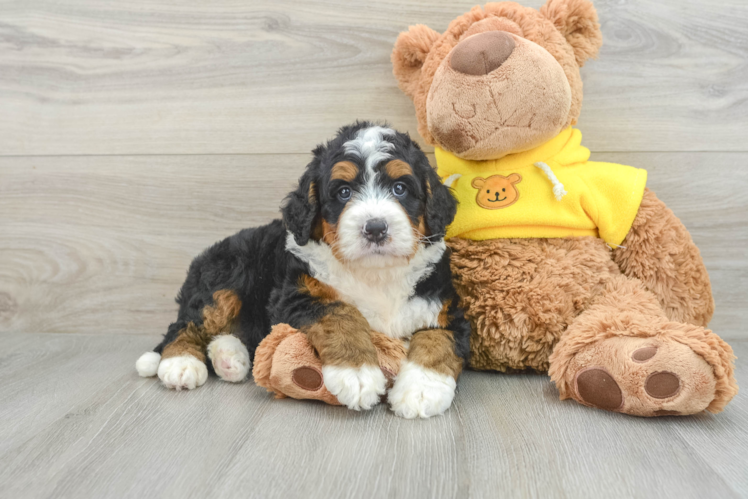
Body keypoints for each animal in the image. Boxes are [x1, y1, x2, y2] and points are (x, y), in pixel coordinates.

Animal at [136, 121, 468, 418]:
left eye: (400, 188)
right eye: (344, 193)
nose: (375, 228)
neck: (375, 273)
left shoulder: (443, 306)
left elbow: (438, 341)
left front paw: (421, 391)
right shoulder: (294, 295)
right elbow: (341, 313)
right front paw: (357, 373)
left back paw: (228, 357)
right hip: (223, 278)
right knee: (185, 324)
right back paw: (180, 364)